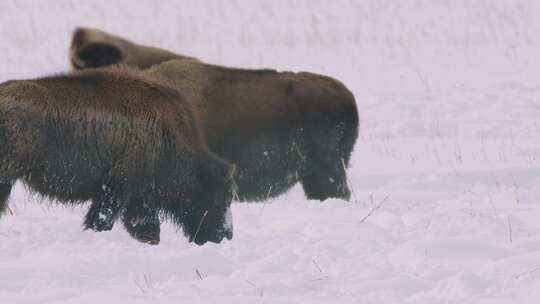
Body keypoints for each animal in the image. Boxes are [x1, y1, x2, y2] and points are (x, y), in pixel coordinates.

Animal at [0, 66, 236, 245]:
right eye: (222, 196)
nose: (226, 235)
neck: (168, 135)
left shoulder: (137, 197)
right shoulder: (117, 189)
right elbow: (103, 220)